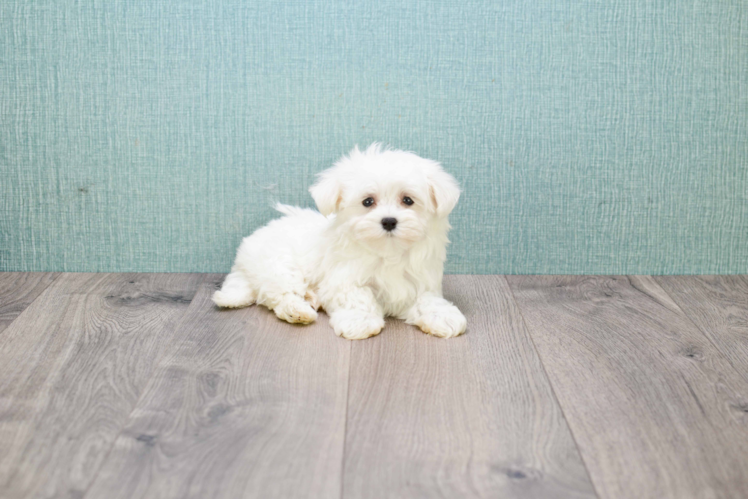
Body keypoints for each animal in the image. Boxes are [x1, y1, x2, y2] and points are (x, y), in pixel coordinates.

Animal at [212, 145, 468, 340]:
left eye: (408, 200)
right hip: (278, 265)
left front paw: (443, 316)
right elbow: (357, 297)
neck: (387, 252)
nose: (388, 221)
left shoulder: (421, 280)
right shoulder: (342, 279)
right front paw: (360, 321)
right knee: (281, 294)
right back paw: (299, 310)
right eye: (368, 202)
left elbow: (428, 299)